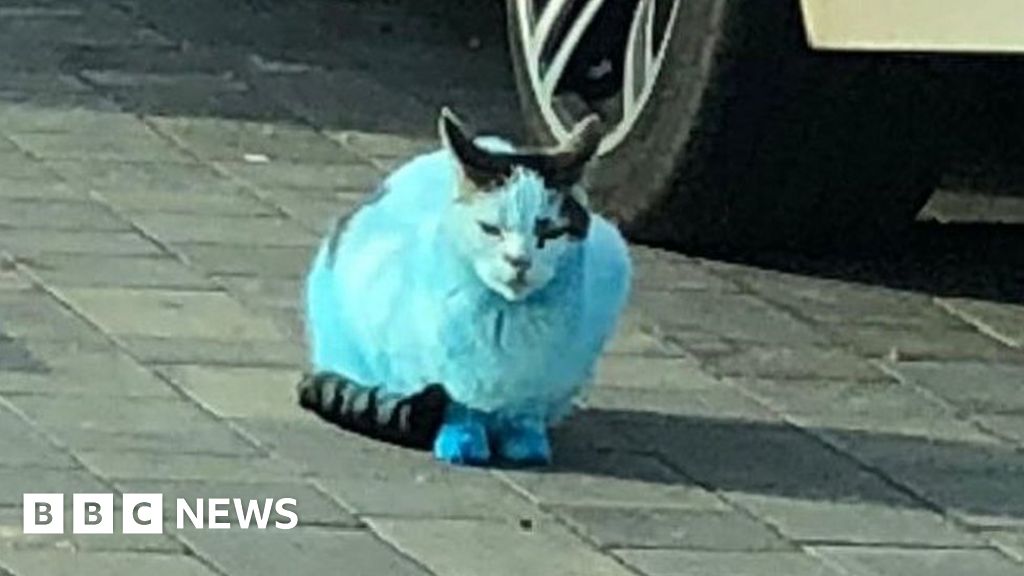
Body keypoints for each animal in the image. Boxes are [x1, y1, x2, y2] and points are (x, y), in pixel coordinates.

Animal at [301, 107, 630, 463]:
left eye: (550, 233)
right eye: (491, 229)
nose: (519, 261)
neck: (508, 319)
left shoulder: (543, 382)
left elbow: (525, 411)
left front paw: (525, 442)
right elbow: (459, 406)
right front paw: (463, 441)